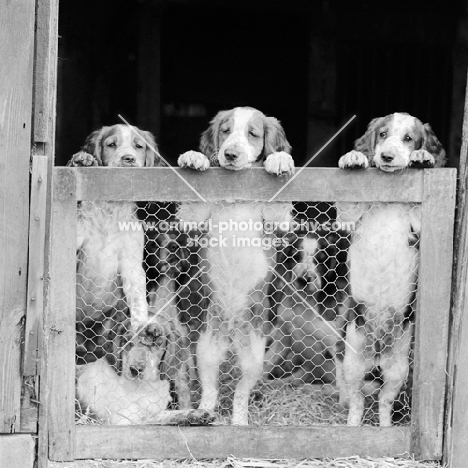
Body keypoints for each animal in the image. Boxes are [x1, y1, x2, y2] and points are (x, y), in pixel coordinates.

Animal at [76, 318, 215, 424]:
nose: (135, 370)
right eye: (127, 341)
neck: (145, 388)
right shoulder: (125, 419)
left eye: (157, 342)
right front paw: (196, 415)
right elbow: (159, 416)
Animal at [177, 107, 294, 424]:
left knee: (241, 392)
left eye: (253, 134)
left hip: (254, 357)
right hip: (206, 348)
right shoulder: (195, 216)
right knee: (211, 388)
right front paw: (195, 157)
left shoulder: (276, 220)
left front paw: (279, 159)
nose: (229, 154)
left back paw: (239, 422)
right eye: (225, 131)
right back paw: (203, 413)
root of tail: (230, 330)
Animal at [336, 111, 446, 426]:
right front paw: (354, 157)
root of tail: (377, 352)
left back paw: (384, 428)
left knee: (383, 403)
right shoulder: (349, 217)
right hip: (352, 363)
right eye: (382, 134)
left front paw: (423, 156)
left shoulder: (419, 220)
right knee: (357, 402)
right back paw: (352, 427)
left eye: (409, 138)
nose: (385, 156)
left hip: (398, 370)